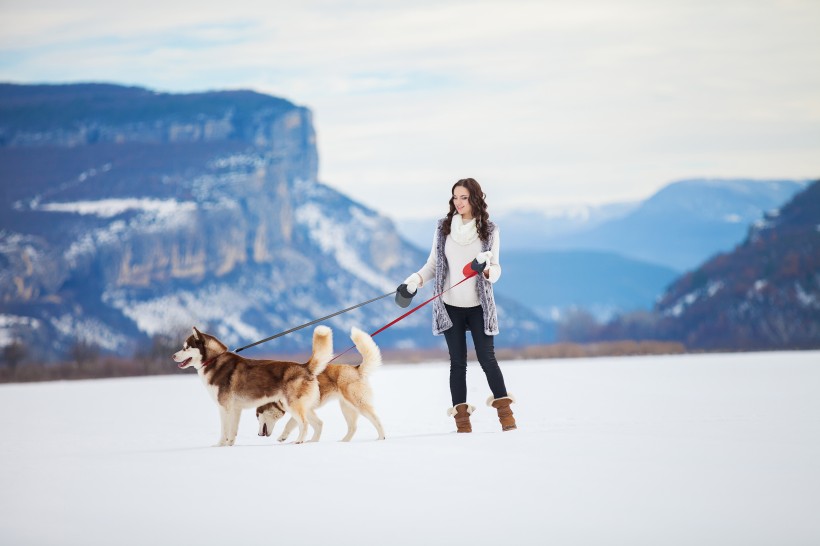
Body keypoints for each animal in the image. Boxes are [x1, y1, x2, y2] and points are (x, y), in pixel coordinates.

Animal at [171, 326, 332, 444]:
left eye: (186, 347)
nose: (173, 356)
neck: (213, 360)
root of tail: (305, 367)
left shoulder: (224, 407)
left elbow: (224, 431)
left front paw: (219, 446)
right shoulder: (236, 409)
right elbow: (232, 433)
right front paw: (228, 447)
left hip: (293, 405)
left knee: (304, 424)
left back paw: (298, 441)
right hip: (304, 407)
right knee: (319, 423)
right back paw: (312, 442)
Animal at [256, 326, 384, 440]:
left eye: (257, 415)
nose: (258, 434)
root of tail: (356, 368)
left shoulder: (300, 409)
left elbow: (293, 424)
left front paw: (284, 438)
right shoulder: (307, 410)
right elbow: (317, 424)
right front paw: (312, 441)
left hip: (358, 403)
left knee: (376, 419)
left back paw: (381, 437)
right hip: (347, 407)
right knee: (353, 427)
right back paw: (343, 442)